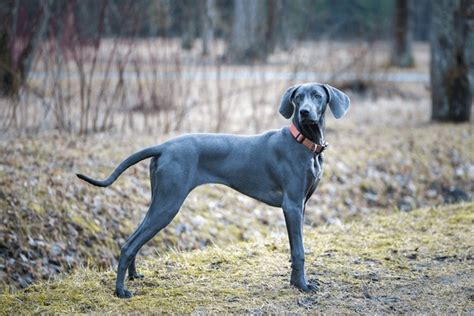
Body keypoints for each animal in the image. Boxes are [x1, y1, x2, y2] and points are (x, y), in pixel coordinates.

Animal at [78, 82, 350, 298]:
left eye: (317, 95)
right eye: (297, 97)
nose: (305, 112)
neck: (304, 143)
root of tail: (164, 146)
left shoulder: (301, 206)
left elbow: (295, 250)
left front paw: (295, 283)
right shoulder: (292, 205)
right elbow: (300, 250)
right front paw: (303, 286)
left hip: (161, 199)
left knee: (134, 239)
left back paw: (134, 277)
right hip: (169, 203)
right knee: (129, 244)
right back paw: (120, 291)